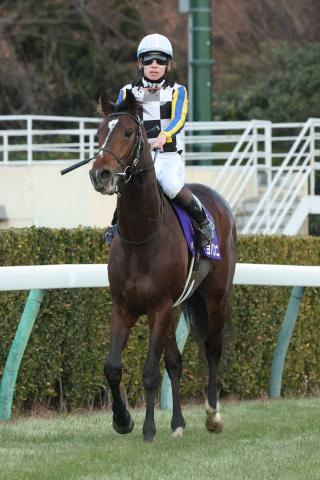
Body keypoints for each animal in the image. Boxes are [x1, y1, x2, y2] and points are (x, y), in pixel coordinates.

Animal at [89, 90, 236, 442]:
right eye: (98, 134)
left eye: (129, 132)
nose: (100, 174)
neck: (141, 236)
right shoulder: (125, 306)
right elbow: (113, 367)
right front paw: (122, 419)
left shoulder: (158, 305)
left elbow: (150, 372)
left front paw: (148, 429)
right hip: (175, 307)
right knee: (176, 361)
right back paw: (178, 423)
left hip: (215, 296)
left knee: (212, 348)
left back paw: (213, 415)